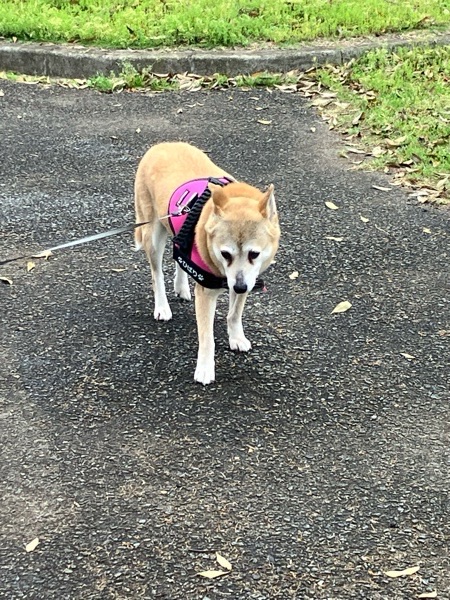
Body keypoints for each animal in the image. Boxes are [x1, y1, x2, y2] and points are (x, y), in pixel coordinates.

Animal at [134, 142, 280, 385]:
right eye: (225, 254)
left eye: (254, 254)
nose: (239, 287)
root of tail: (161, 144)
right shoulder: (207, 292)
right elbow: (206, 336)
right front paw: (204, 368)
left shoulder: (247, 279)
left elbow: (234, 314)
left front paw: (236, 337)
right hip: (152, 232)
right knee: (157, 275)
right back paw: (162, 306)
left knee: (180, 255)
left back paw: (182, 287)